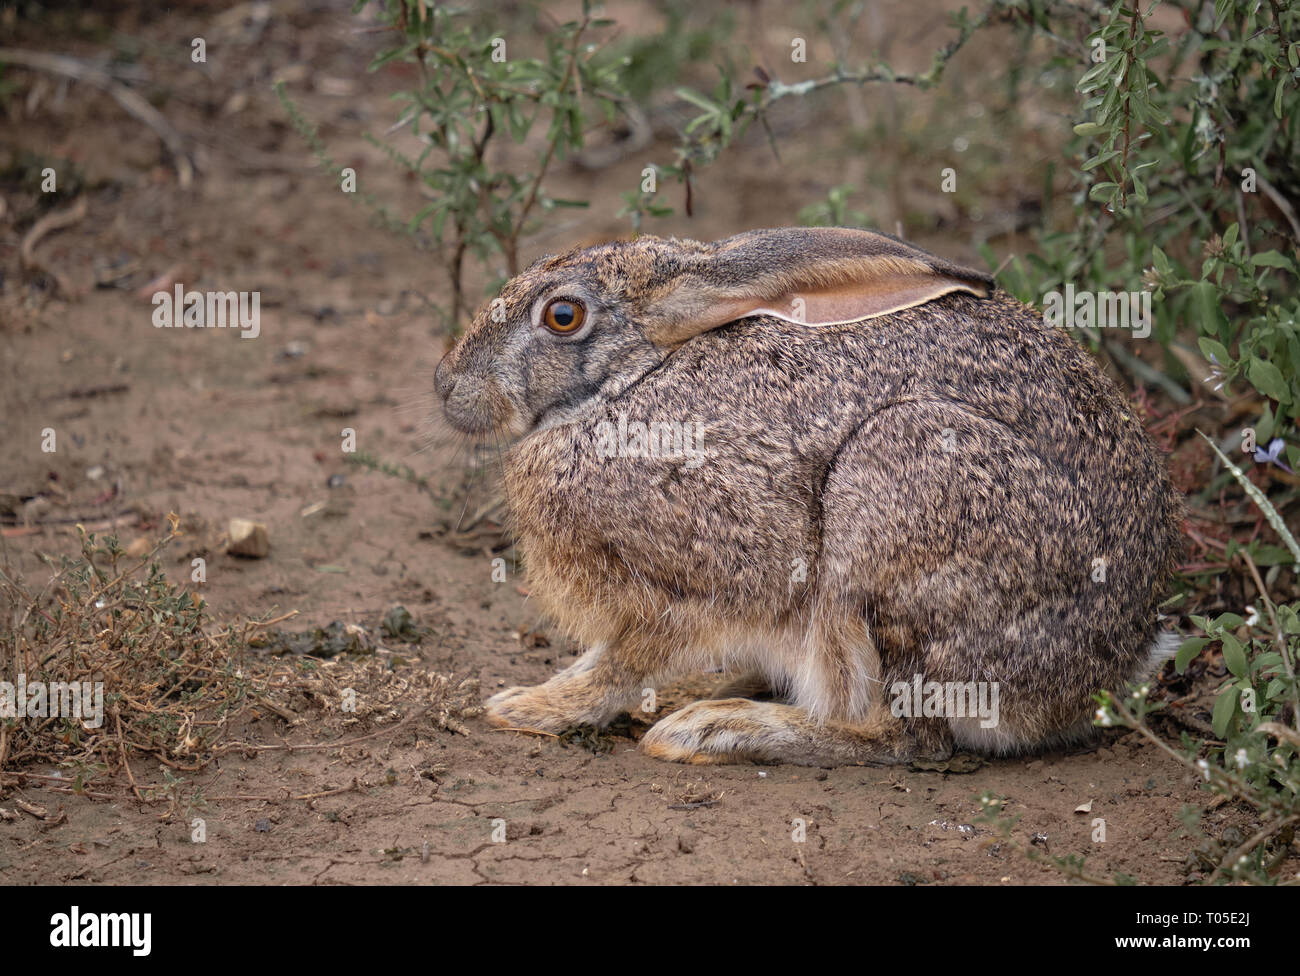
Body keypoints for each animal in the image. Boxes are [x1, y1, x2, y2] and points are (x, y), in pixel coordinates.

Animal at [435, 227, 1184, 766]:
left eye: (562, 315)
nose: (447, 385)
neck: (632, 382)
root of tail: (1111, 667)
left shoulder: (689, 583)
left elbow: (620, 661)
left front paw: (530, 706)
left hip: (896, 498)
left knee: (906, 737)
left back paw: (714, 729)